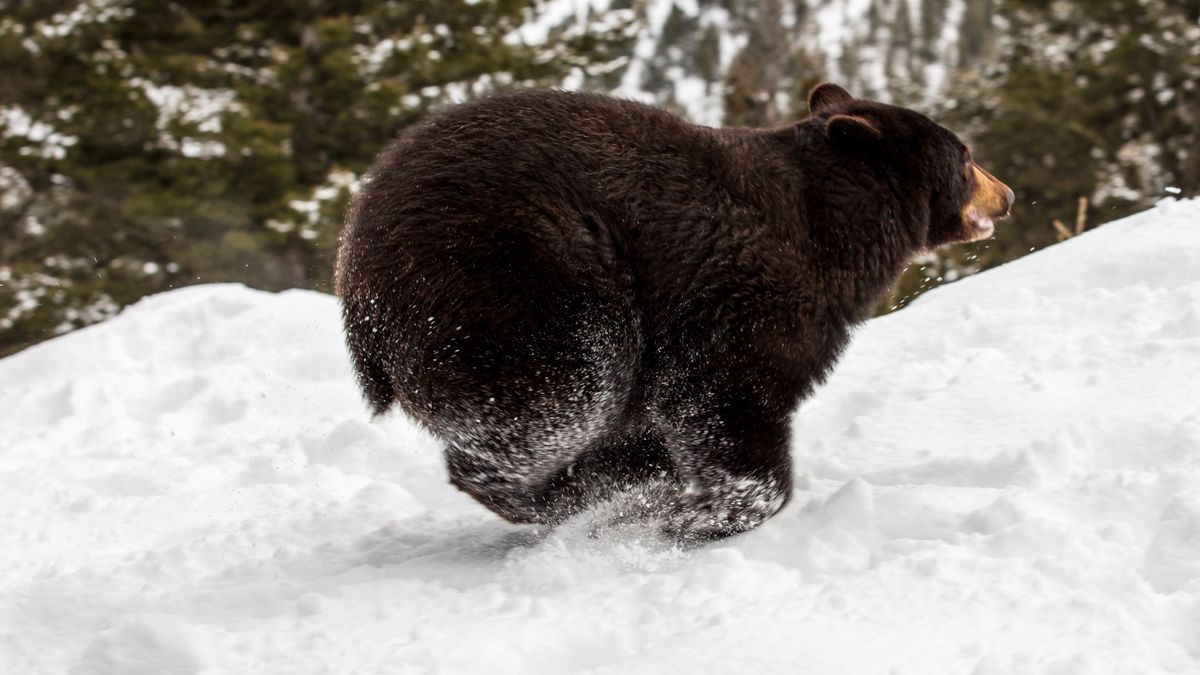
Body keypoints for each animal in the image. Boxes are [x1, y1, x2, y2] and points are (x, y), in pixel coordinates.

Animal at [336, 84, 1012, 538]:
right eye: (965, 155)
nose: (1005, 195)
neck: (836, 231)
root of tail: (354, 262)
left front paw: (657, 481)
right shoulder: (743, 292)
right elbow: (726, 396)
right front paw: (704, 511)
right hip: (522, 278)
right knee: (560, 398)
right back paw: (565, 497)